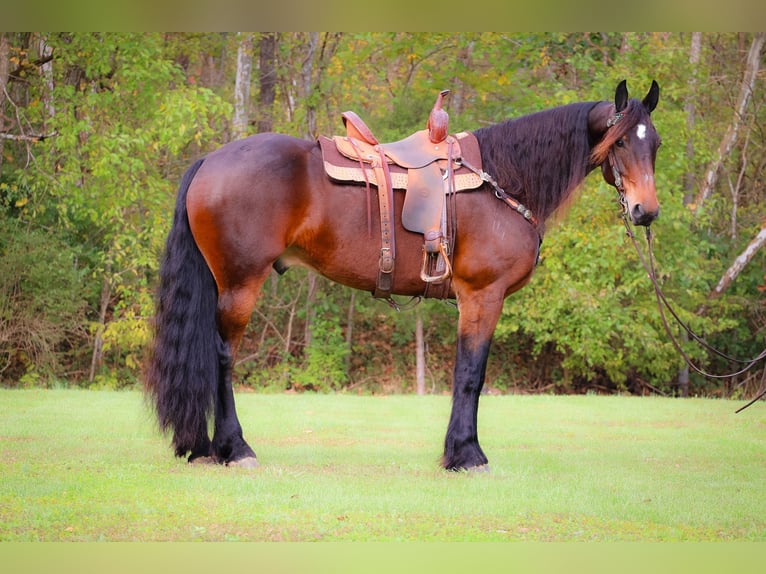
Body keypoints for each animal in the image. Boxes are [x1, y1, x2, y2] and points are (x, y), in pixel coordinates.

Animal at [147, 79, 664, 470]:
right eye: (620, 141)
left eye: (655, 144)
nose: (646, 211)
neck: (504, 180)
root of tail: (210, 161)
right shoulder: (483, 296)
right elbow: (470, 374)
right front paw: (467, 455)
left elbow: (466, 374)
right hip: (239, 284)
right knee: (221, 358)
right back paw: (234, 448)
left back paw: (203, 447)